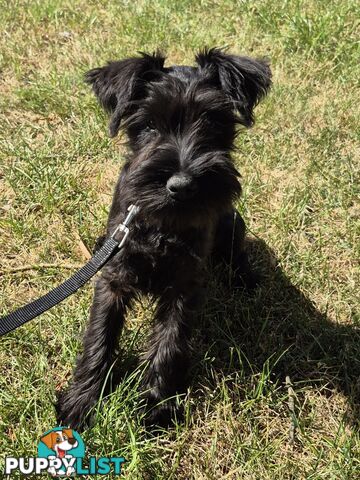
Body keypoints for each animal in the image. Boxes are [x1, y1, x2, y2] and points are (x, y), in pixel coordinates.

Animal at [55, 48, 270, 430]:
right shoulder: (113, 280)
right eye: (149, 125)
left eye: (213, 122)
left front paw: (156, 406)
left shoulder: (184, 286)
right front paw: (81, 401)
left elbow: (169, 344)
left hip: (233, 223)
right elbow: (99, 336)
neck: (163, 225)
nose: (181, 185)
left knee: (238, 254)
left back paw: (247, 280)